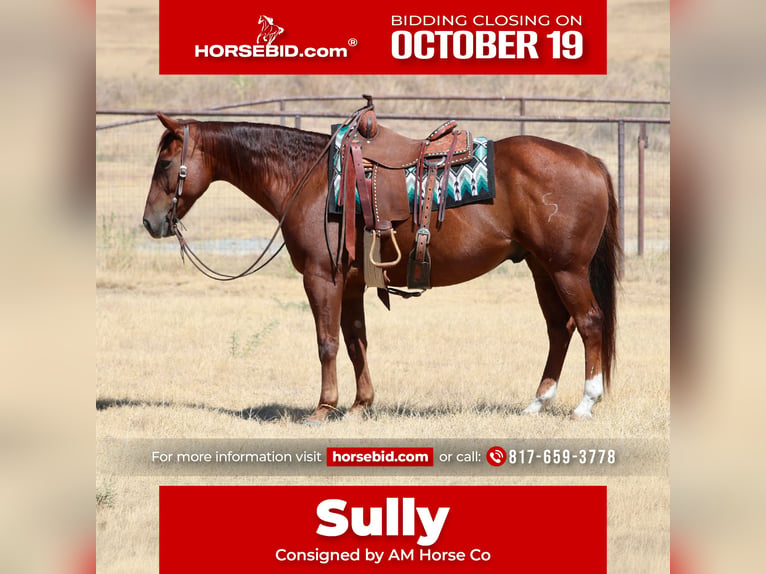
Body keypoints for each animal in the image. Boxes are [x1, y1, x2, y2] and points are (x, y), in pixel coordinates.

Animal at [142, 109, 619, 423]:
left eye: (165, 162)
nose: (150, 222)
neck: (310, 180)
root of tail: (592, 162)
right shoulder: (351, 285)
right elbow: (357, 343)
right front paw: (360, 405)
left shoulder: (322, 279)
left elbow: (327, 343)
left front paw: (323, 408)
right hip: (542, 269)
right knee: (560, 328)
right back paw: (537, 402)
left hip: (567, 270)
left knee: (589, 322)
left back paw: (585, 403)